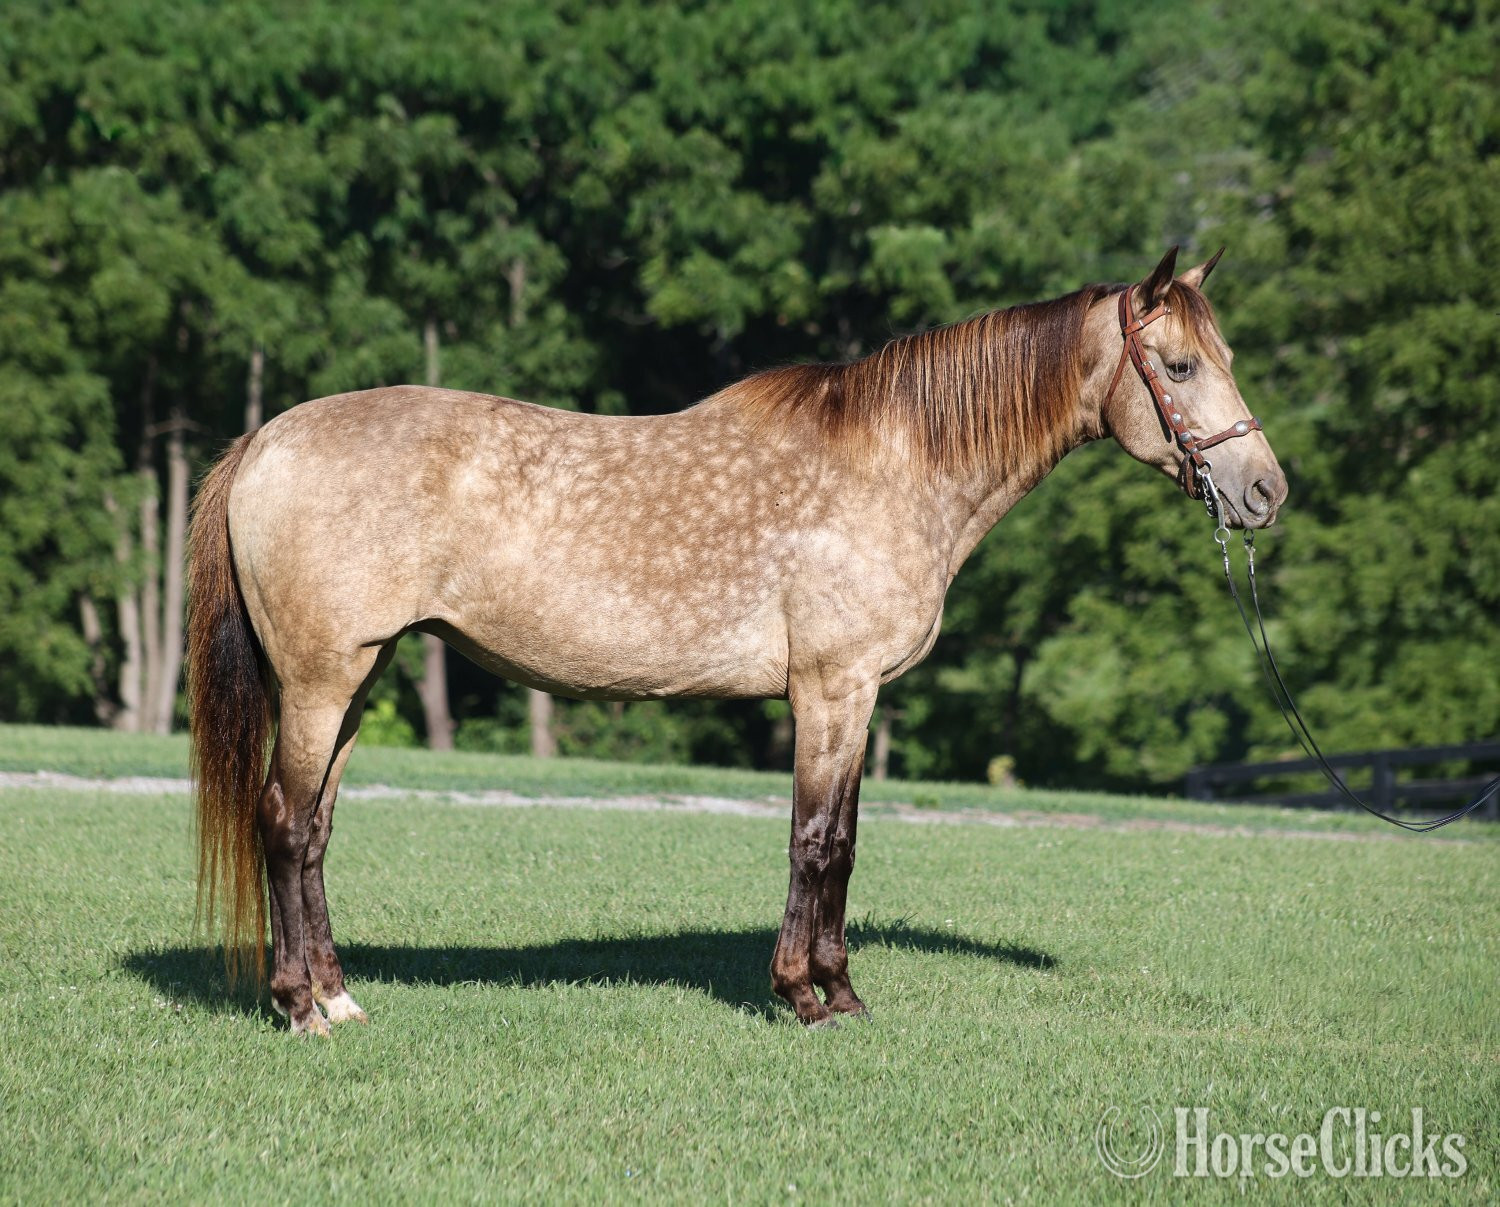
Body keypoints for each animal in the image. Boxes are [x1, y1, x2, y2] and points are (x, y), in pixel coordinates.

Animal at [187, 246, 1286, 1033]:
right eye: (1179, 365)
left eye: (1226, 360)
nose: (1267, 491)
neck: (896, 462)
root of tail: (266, 440)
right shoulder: (835, 688)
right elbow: (819, 839)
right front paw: (807, 995)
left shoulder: (852, 695)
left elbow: (840, 839)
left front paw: (836, 988)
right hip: (321, 680)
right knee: (283, 821)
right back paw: (299, 1007)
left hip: (356, 680)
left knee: (316, 828)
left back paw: (338, 995)